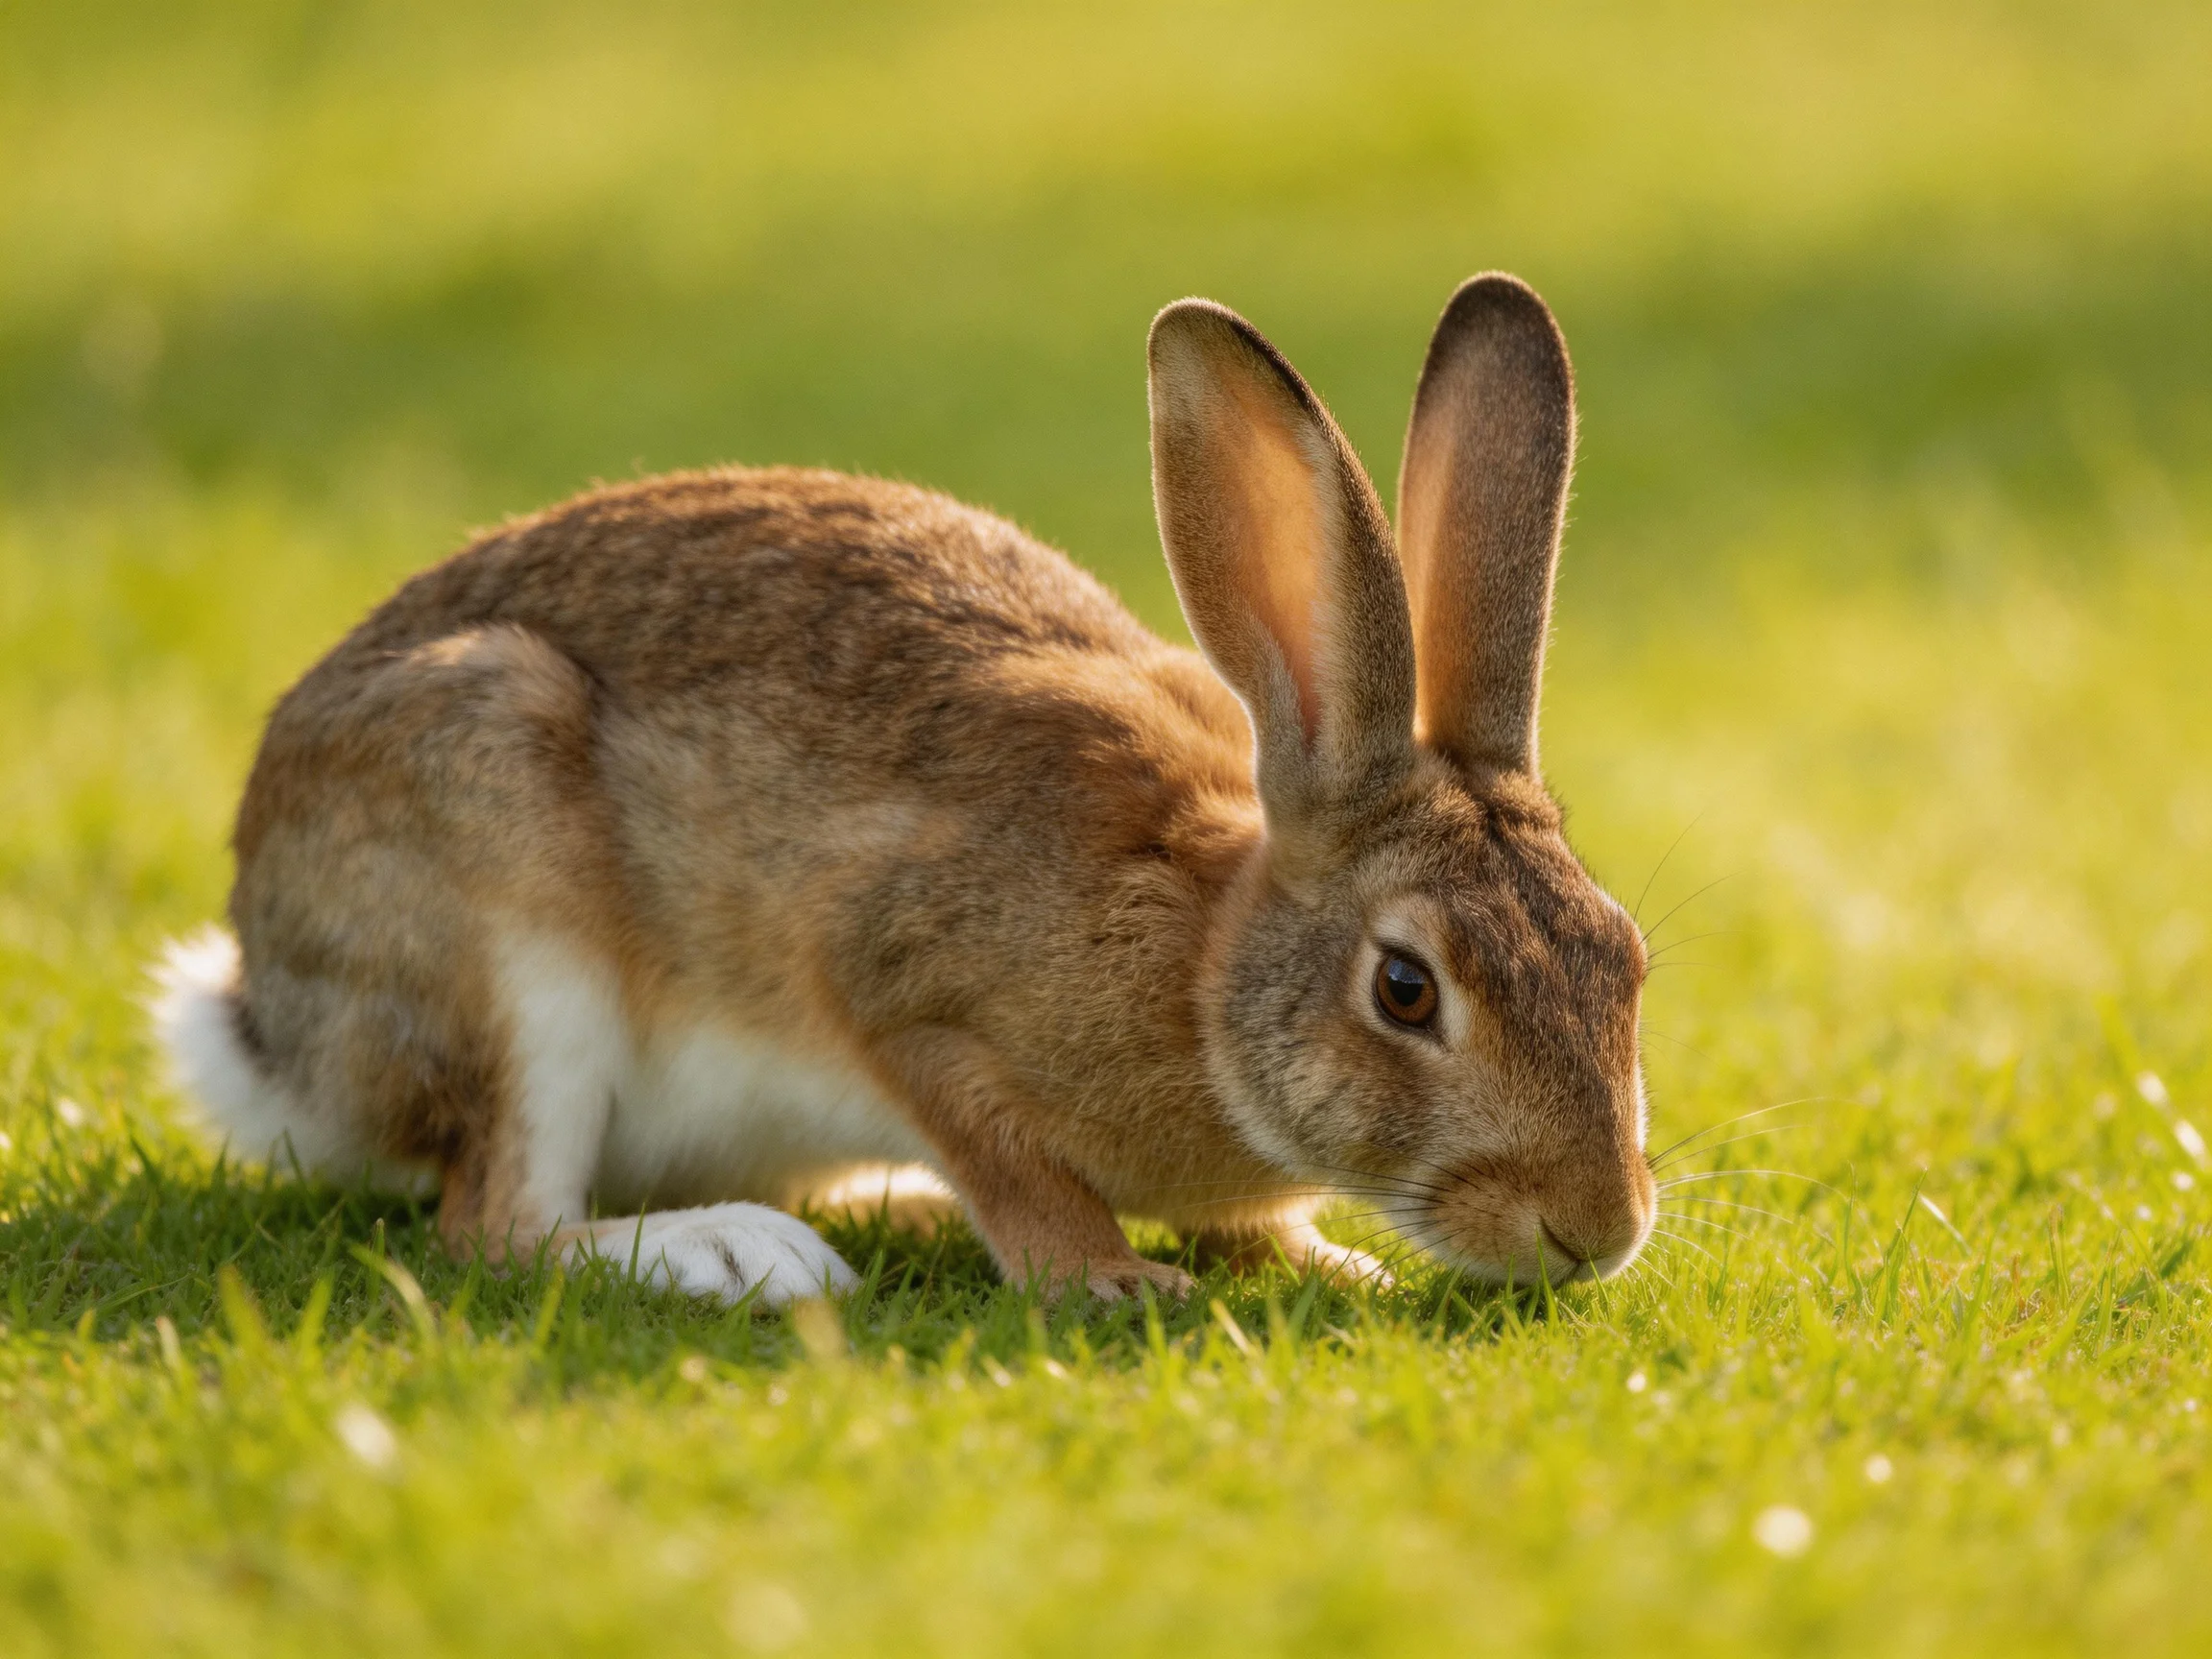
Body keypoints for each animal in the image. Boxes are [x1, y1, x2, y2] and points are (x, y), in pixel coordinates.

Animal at [151, 273, 1655, 1307]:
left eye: (1627, 957)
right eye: (1406, 990)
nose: (1599, 1233)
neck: (1201, 963)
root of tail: (270, 1031)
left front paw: (1334, 1266)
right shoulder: (896, 979)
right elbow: (996, 1143)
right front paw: (1114, 1279)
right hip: (505, 883)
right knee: (497, 1230)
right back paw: (752, 1257)